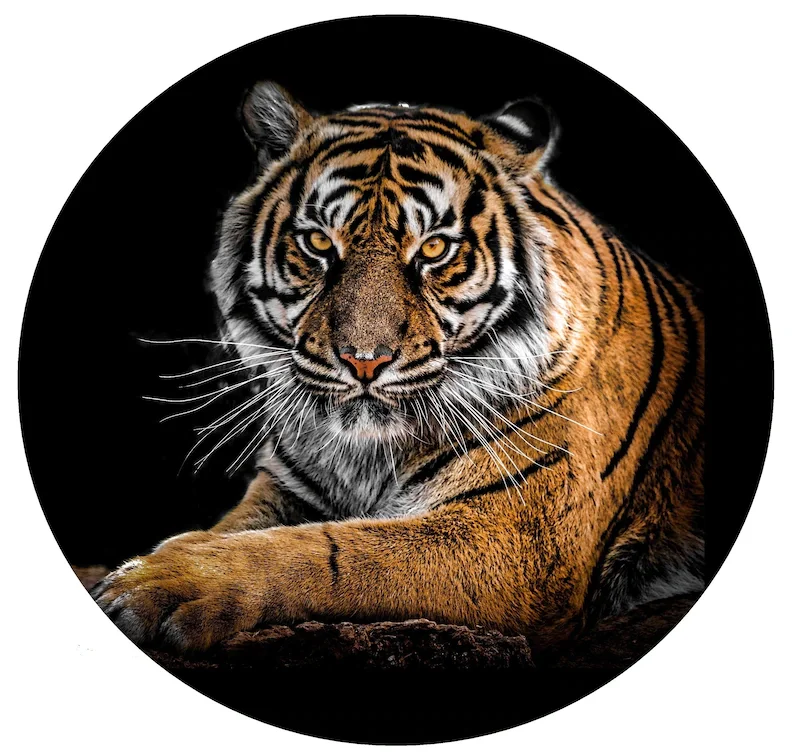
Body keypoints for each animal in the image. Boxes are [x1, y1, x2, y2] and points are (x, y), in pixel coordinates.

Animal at [92, 82, 705, 653]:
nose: (364, 361)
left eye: (433, 249)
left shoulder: (517, 538)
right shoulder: (284, 489)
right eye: (318, 243)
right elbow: (233, 530)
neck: (365, 455)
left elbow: (331, 551)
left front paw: (161, 583)